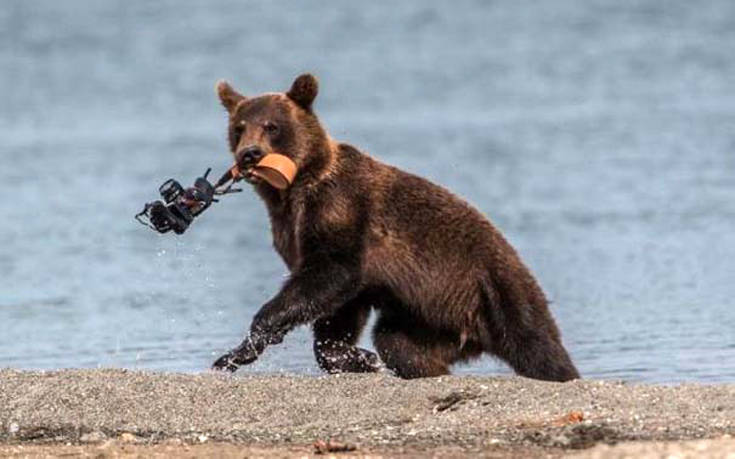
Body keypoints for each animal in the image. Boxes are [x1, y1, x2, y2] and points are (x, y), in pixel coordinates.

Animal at [213, 73, 580, 382]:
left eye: (272, 126)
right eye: (239, 127)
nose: (249, 154)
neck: (294, 190)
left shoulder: (341, 212)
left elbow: (331, 274)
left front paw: (248, 340)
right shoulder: (295, 231)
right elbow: (339, 307)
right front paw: (360, 358)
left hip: (497, 288)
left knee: (536, 345)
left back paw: (563, 372)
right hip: (430, 317)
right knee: (399, 344)